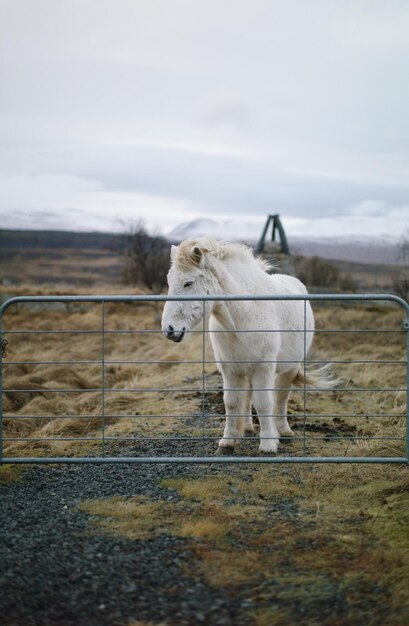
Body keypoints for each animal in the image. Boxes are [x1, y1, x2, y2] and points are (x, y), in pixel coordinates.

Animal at [162, 235, 318, 454]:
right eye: (169, 282)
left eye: (188, 283)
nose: (169, 330)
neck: (243, 313)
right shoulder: (230, 370)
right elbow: (232, 403)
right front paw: (228, 442)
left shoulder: (263, 369)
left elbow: (264, 403)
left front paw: (268, 444)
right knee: (249, 396)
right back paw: (249, 428)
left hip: (289, 367)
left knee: (281, 397)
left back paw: (283, 431)